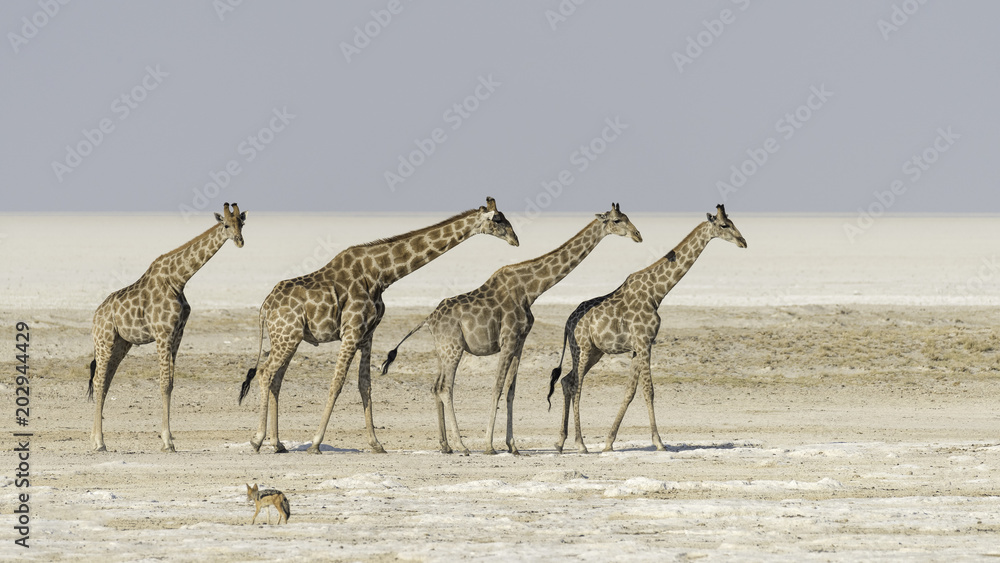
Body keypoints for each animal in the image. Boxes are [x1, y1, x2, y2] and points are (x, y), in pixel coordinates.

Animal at [88, 203, 247, 452]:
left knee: (104, 384)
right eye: (226, 225)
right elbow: (163, 384)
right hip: (105, 341)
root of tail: (96, 315)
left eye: (242, 223)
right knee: (99, 381)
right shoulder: (163, 333)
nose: (240, 241)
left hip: (122, 344)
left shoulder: (177, 334)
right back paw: (99, 442)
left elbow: (171, 384)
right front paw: (166, 441)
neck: (178, 280)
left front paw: (169, 439)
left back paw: (96, 440)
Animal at [238, 197, 519, 454]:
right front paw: (316, 443)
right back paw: (258, 439)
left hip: (289, 338)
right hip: (286, 336)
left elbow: (365, 385)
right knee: (265, 373)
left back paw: (277, 443)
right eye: (497, 219)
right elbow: (337, 383)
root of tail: (265, 307)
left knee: (276, 379)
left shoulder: (367, 334)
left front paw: (376, 443)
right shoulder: (351, 331)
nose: (515, 240)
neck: (381, 274)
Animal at [381, 203, 642, 455]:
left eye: (628, 217)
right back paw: (463, 447)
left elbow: (510, 390)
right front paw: (489, 445)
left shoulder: (520, 341)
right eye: (618, 220)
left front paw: (513, 446)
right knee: (446, 388)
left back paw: (445, 445)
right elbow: (497, 387)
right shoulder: (508, 339)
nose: (638, 235)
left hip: (443, 350)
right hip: (453, 348)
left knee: (436, 387)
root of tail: (429, 320)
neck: (531, 289)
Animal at [547, 204, 746, 454]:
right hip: (581, 348)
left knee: (566, 381)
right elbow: (649, 390)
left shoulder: (638, 346)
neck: (657, 293)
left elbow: (630, 391)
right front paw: (659, 442)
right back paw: (580, 443)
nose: (743, 241)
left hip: (594, 352)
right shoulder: (644, 342)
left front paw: (609, 442)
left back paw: (560, 441)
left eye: (732, 222)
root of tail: (567, 323)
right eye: (724, 225)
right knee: (576, 385)